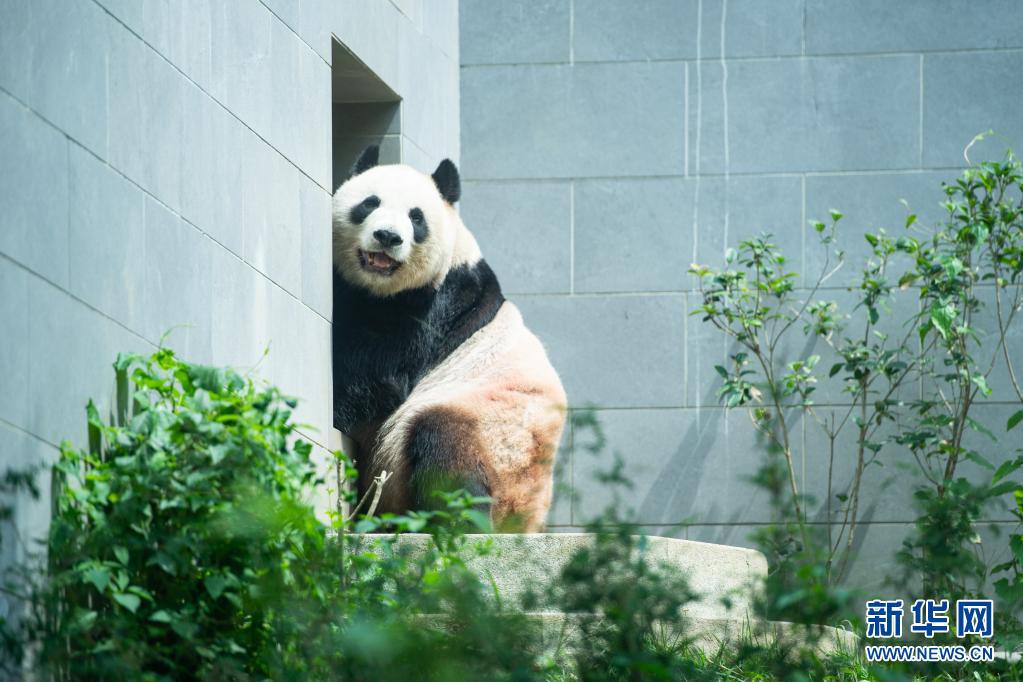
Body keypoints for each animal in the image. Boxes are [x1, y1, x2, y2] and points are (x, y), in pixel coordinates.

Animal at [329, 145, 564, 531]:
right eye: (370, 202)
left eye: (416, 218)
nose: (388, 237)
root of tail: (528, 520)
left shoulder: (432, 310)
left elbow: (375, 377)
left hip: (497, 433)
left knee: (445, 445)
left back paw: (458, 524)